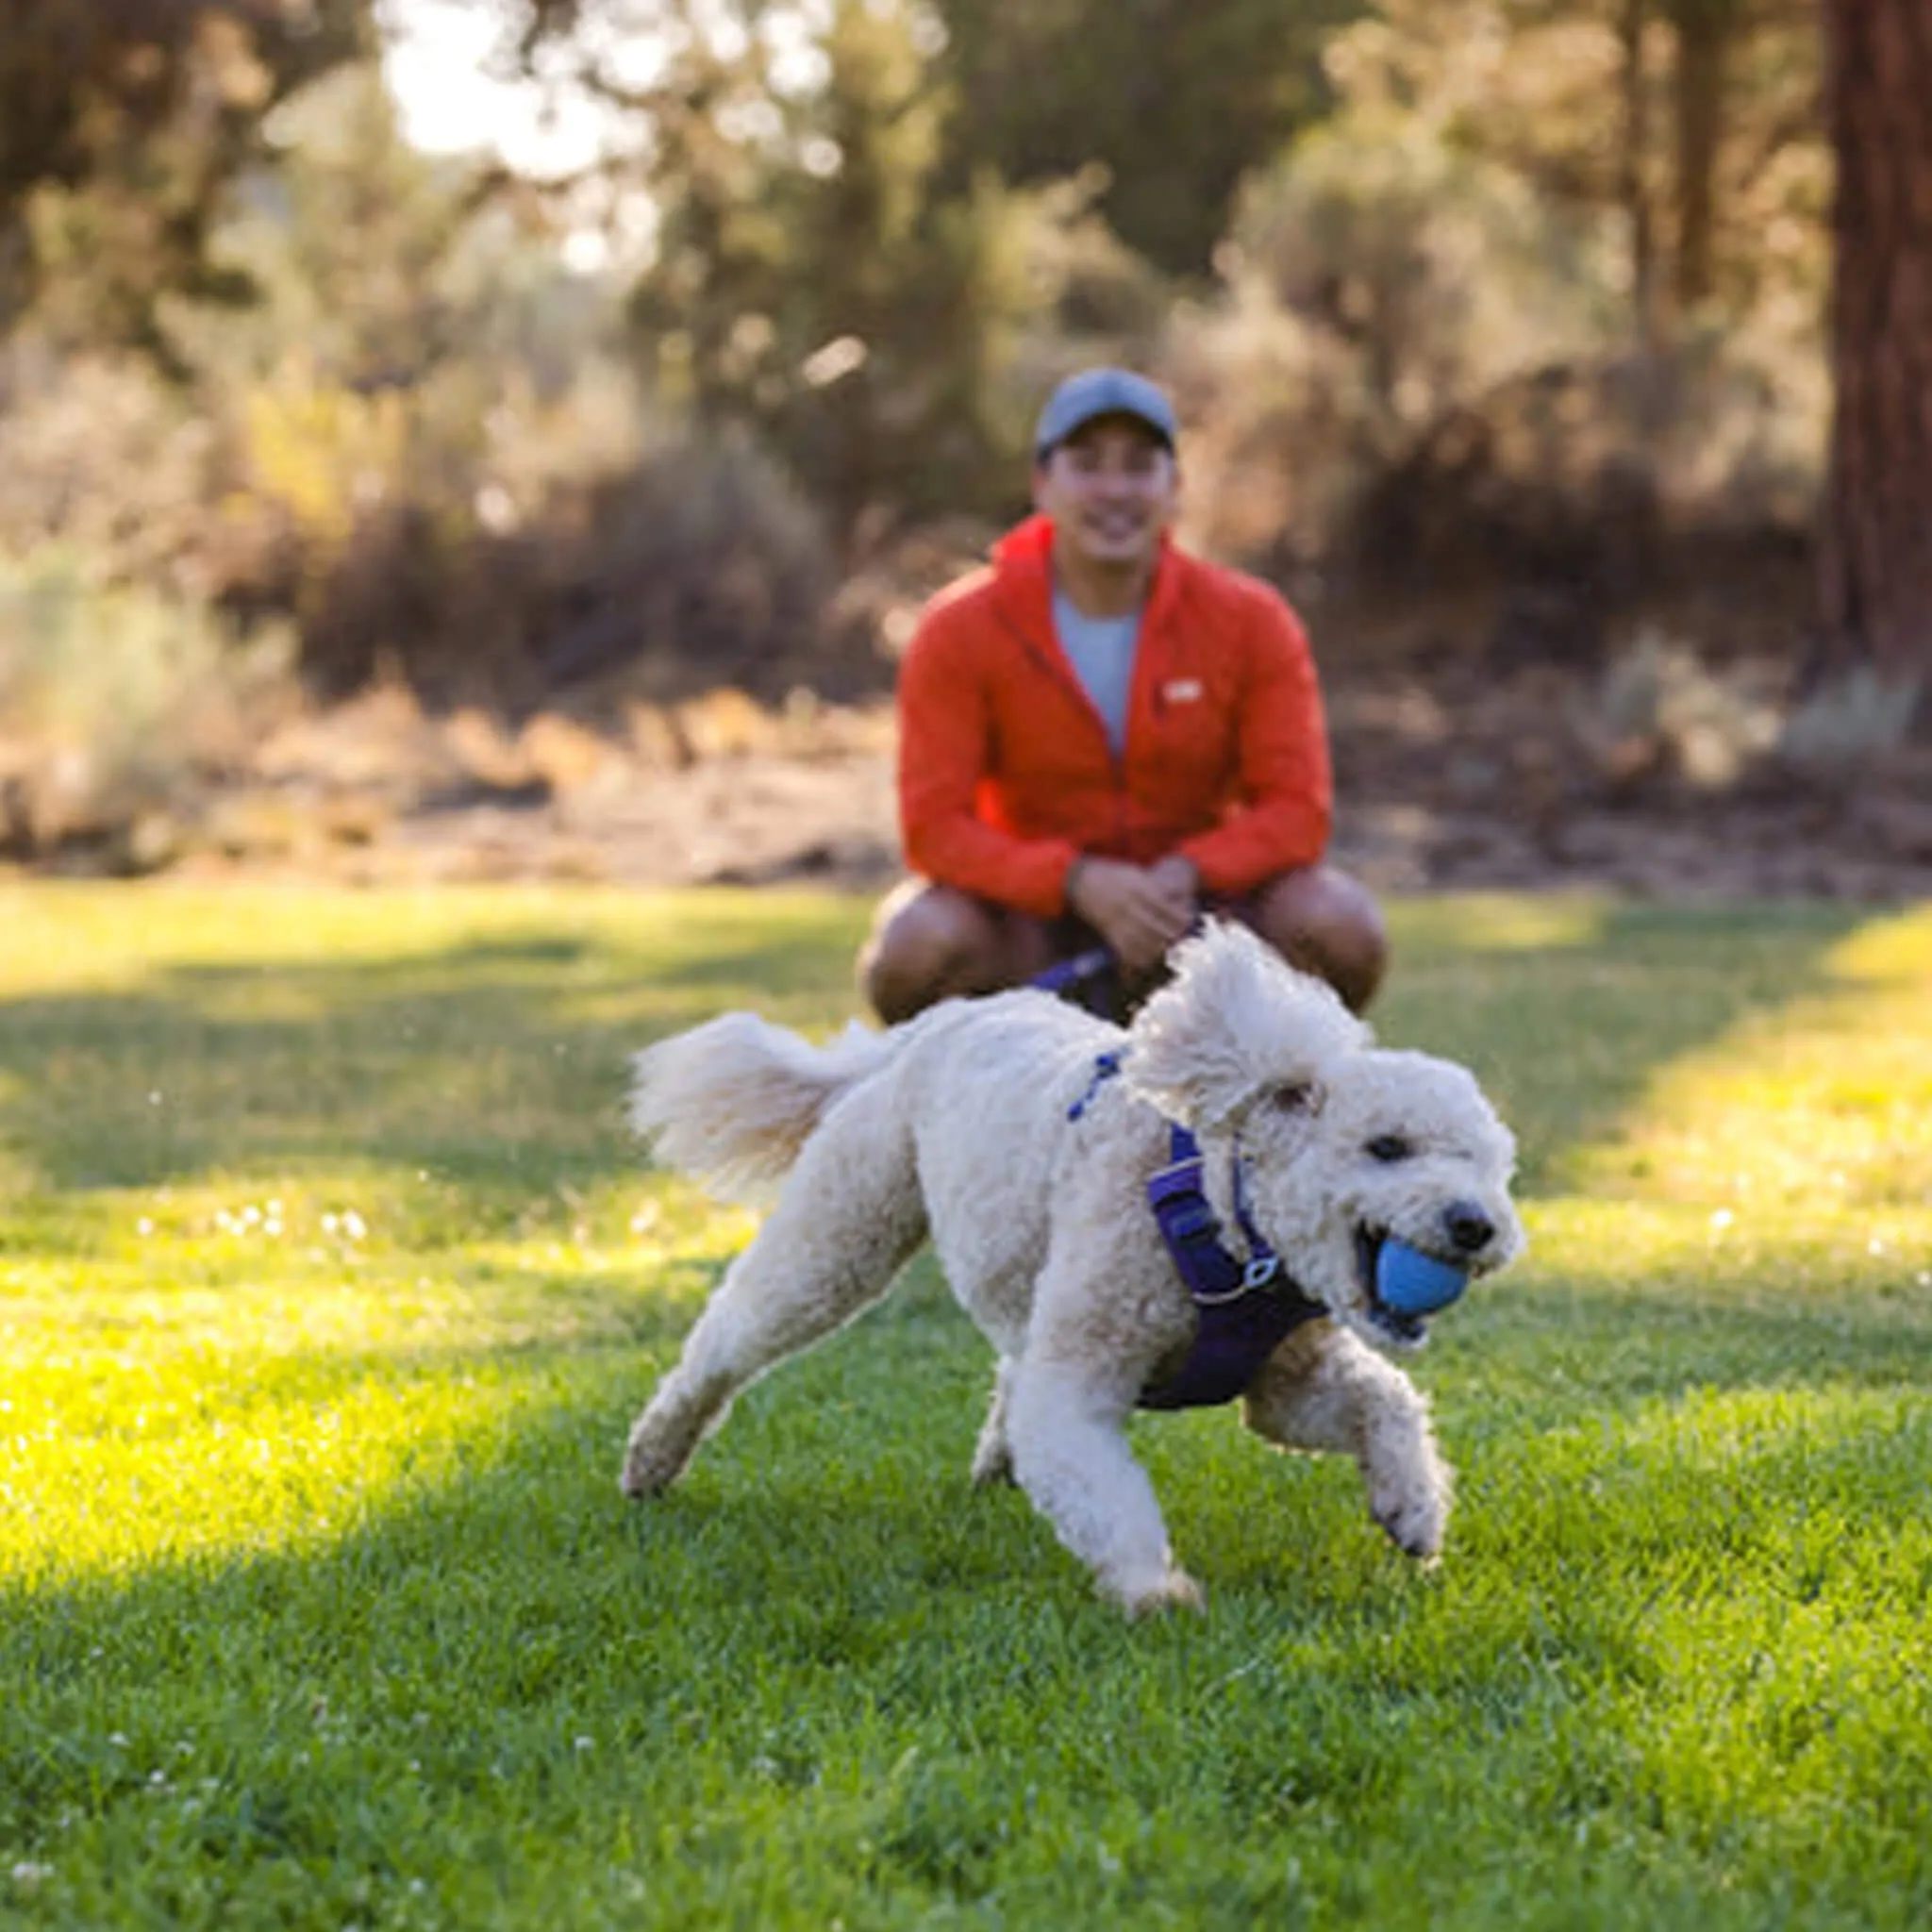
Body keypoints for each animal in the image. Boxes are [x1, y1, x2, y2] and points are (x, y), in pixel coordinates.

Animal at [618, 923, 1522, 1615]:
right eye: (1387, 1147)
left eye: (1491, 1168)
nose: (1477, 1226)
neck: (1221, 1216)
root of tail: (939, 1021)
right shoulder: (1082, 1379)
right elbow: (1105, 1491)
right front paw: (1155, 1592)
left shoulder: (1282, 1382)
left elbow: (1386, 1401)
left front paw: (1414, 1510)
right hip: (842, 1232)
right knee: (729, 1339)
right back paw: (653, 1459)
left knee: (1012, 1364)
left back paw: (996, 1462)